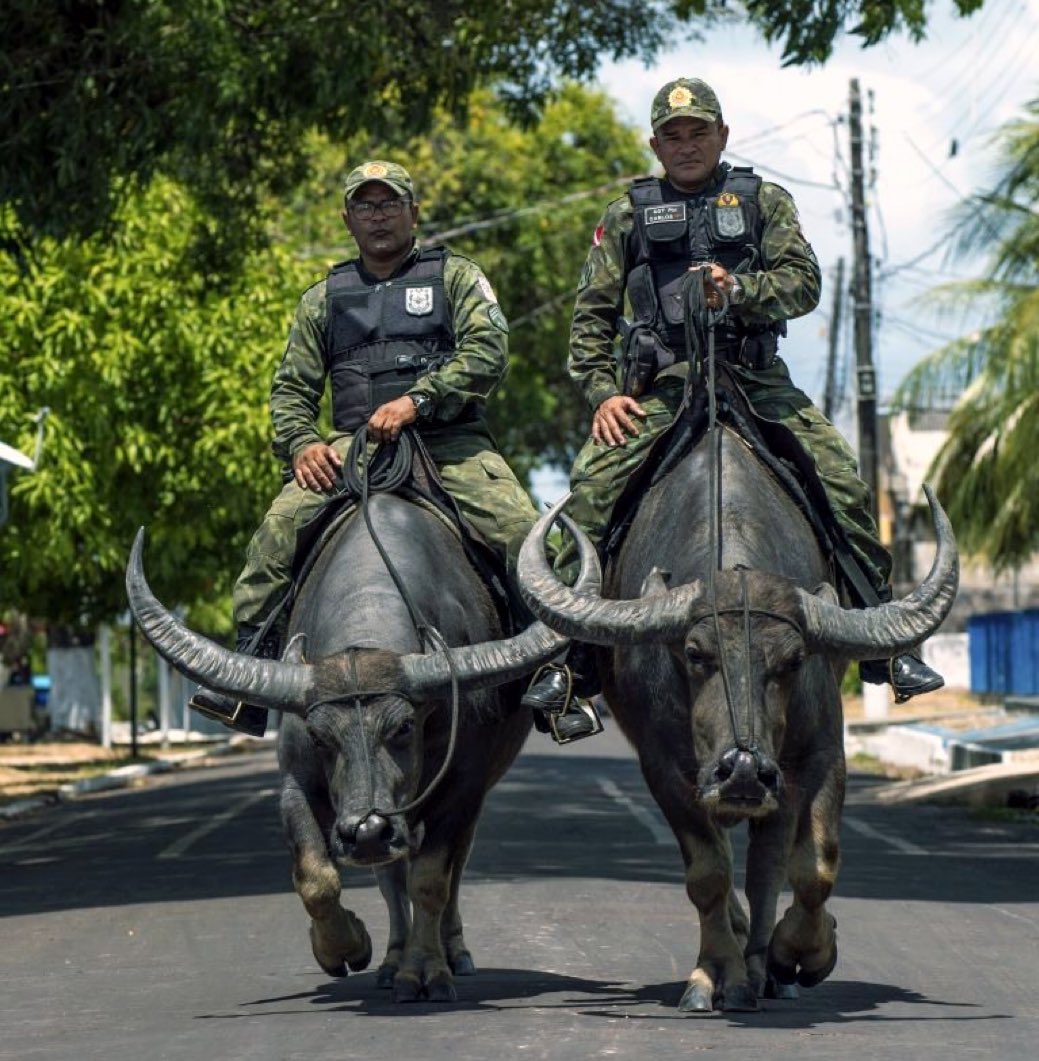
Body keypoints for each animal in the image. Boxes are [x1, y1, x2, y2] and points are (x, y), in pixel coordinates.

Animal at [125, 490, 598, 1001]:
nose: (367, 830)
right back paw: (391, 960)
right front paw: (345, 948)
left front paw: (427, 971)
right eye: (319, 735)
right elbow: (316, 877)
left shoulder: (463, 788)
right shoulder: (297, 784)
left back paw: (451, 952)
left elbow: (431, 881)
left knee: (450, 870)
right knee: (389, 876)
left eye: (404, 727)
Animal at [520, 422, 959, 1010]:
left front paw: (797, 957)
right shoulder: (667, 767)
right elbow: (708, 872)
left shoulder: (818, 754)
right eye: (695, 652)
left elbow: (807, 867)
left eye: (793, 660)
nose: (744, 771)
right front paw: (716, 975)